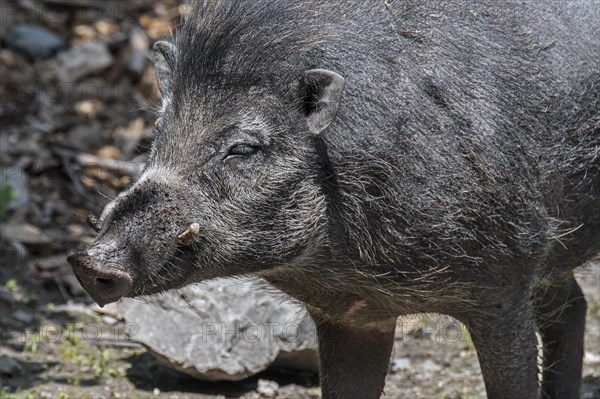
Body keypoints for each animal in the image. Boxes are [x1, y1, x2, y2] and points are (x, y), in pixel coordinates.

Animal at [68, 1, 596, 398]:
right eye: (158, 131)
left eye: (242, 148)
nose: (90, 261)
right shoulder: (353, 317)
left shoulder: (505, 282)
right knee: (573, 305)